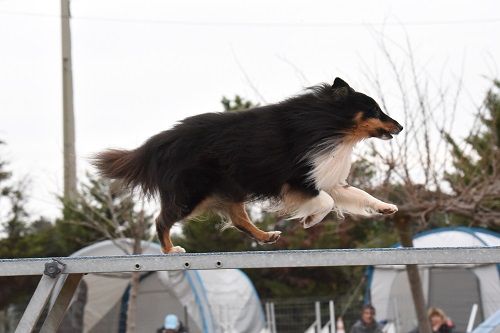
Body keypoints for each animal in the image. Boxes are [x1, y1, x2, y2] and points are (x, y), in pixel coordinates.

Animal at [94, 78, 402, 253]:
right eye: (375, 110)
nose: (399, 126)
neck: (327, 125)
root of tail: (160, 141)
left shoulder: (323, 175)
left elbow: (357, 194)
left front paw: (386, 207)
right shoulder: (297, 179)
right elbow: (325, 201)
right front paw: (310, 220)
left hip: (230, 188)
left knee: (238, 219)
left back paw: (266, 236)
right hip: (192, 193)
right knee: (162, 220)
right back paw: (171, 251)